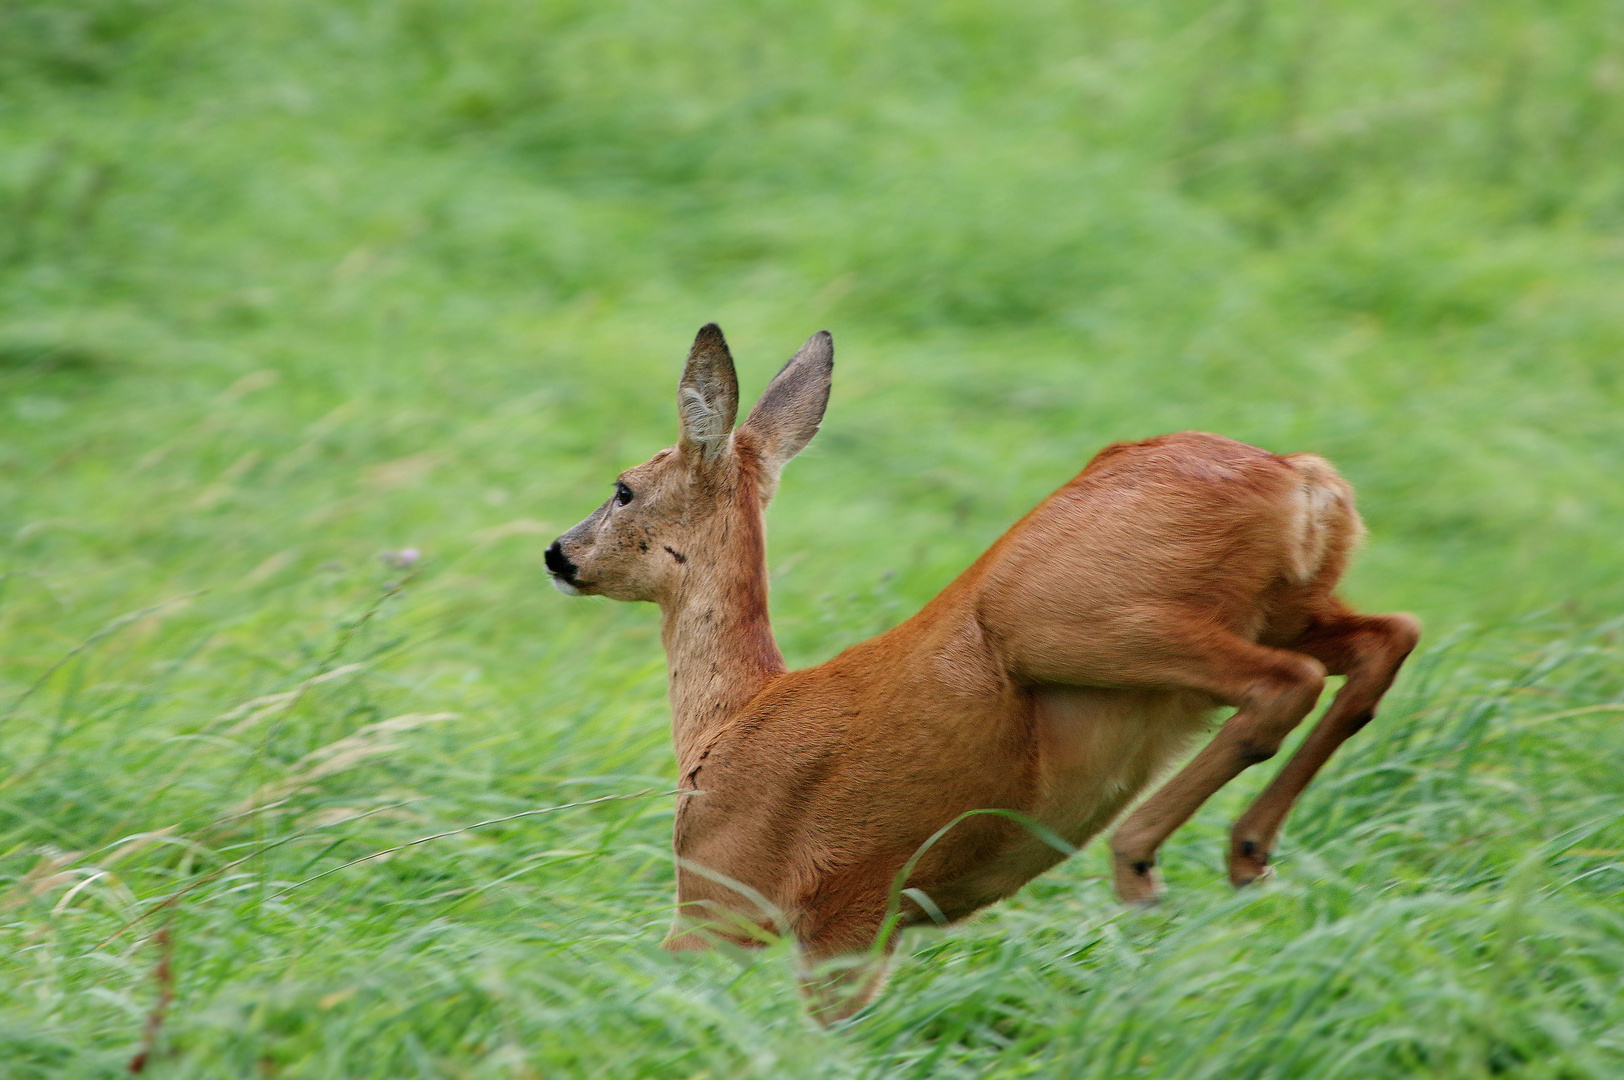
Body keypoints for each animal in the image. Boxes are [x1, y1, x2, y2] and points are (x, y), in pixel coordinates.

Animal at [548, 324, 1422, 1013]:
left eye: (623, 489)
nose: (559, 553)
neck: (731, 713)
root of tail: (1304, 483)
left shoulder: (733, 895)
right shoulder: (851, 926)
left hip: (1069, 614)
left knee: (1284, 681)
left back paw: (1144, 860)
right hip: (1290, 602)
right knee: (1388, 637)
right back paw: (1246, 859)